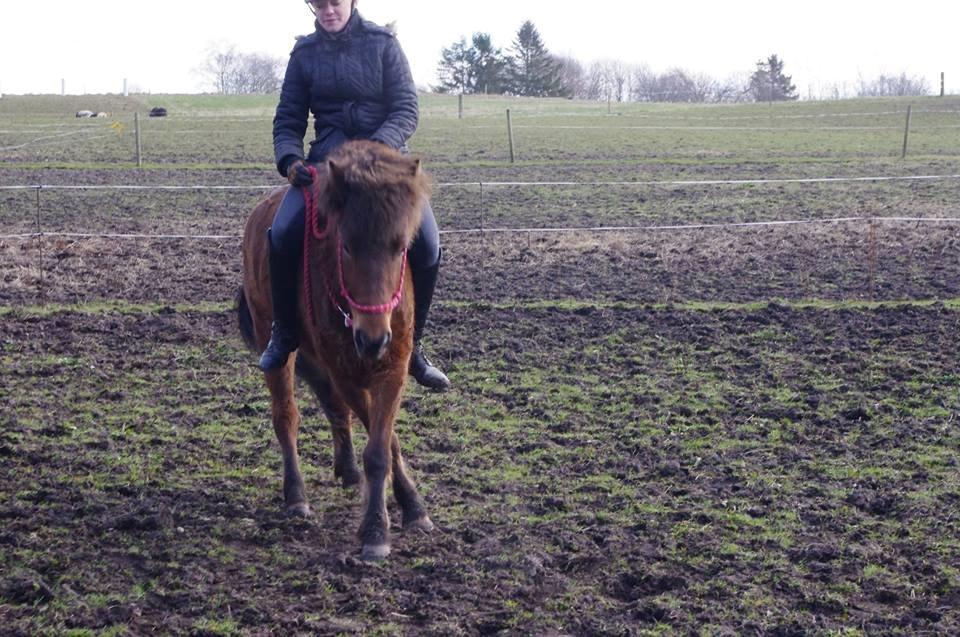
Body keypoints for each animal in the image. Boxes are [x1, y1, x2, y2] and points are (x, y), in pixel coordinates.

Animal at [238, 139, 434, 556]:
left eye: (401, 247)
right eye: (346, 246)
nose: (372, 338)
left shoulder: (393, 366)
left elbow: (381, 443)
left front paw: (410, 509)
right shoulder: (345, 371)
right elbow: (380, 443)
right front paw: (376, 531)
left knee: (334, 408)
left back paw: (347, 471)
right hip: (277, 344)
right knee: (287, 416)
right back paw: (296, 497)